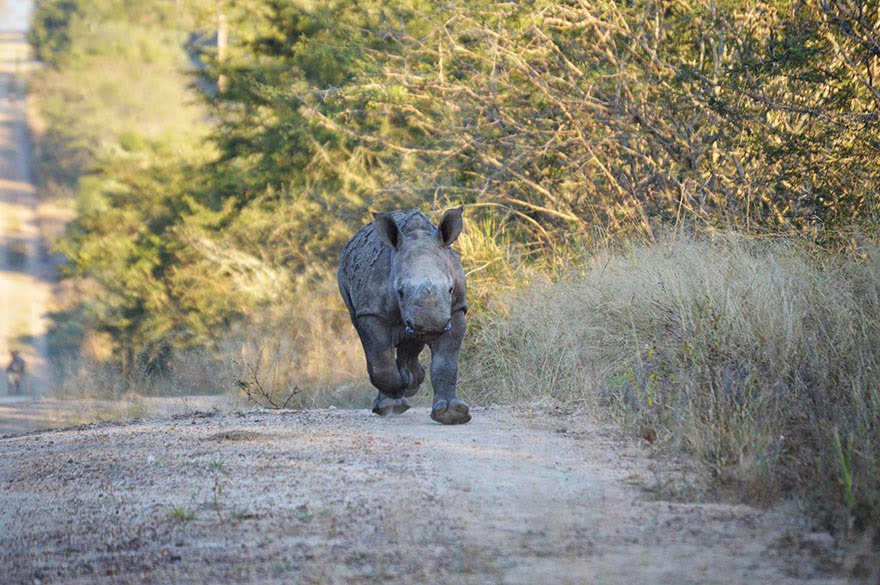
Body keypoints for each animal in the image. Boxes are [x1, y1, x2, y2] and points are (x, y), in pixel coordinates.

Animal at [336, 208, 470, 422]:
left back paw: (412, 379)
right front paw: (393, 402)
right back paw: (396, 394)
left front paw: (452, 414)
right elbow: (381, 362)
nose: (430, 324)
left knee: (410, 343)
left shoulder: (456, 309)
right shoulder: (372, 312)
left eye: (450, 289)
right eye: (400, 292)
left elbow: (446, 363)